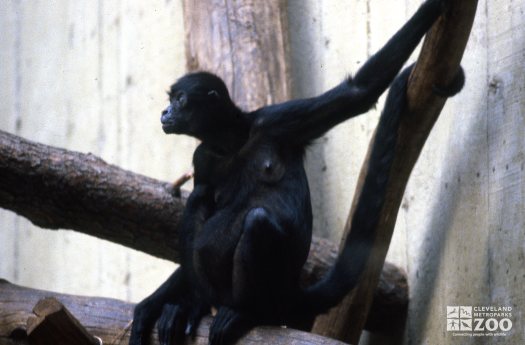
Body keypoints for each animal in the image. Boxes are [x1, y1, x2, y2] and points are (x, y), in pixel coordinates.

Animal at [130, 0, 462, 344]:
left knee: (256, 221)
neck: (232, 142)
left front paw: (435, 7)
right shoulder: (203, 157)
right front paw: (155, 306)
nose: (165, 112)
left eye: (180, 99)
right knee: (200, 200)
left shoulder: (278, 120)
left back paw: (246, 313)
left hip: (271, 290)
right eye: (171, 101)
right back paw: (199, 304)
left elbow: (358, 92)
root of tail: (291, 293)